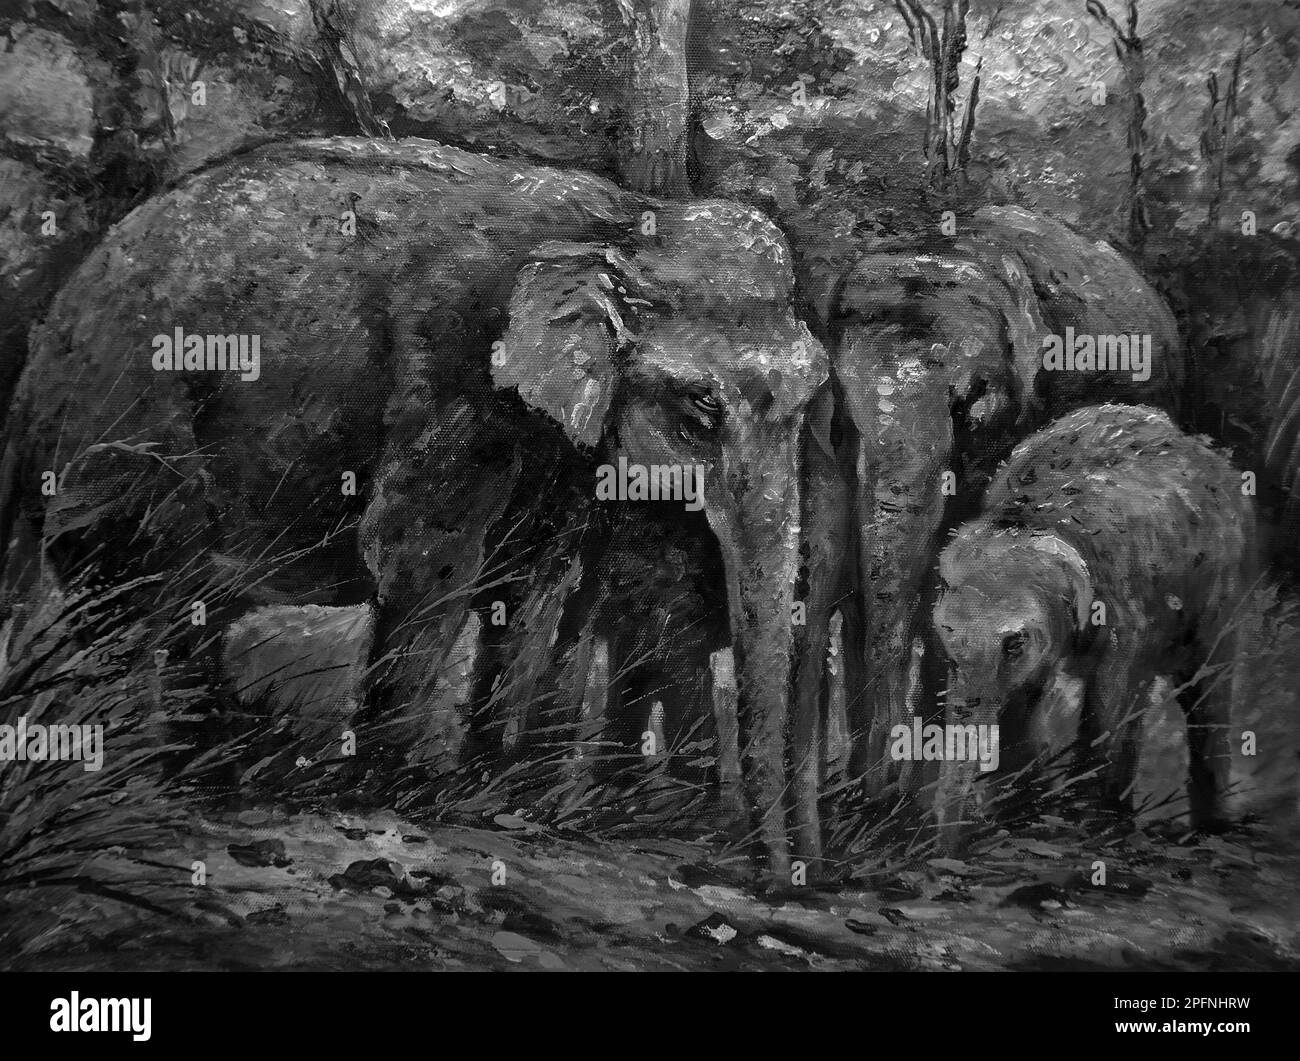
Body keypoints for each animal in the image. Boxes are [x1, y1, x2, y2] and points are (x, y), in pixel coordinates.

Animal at [0, 135, 828, 878]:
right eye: (701, 407)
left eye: (814, 388)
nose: (772, 874)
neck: (622, 223)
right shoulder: (449, 375)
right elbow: (426, 562)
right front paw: (391, 794)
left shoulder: (561, 444)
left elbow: (535, 585)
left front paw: (495, 798)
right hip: (122, 437)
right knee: (137, 598)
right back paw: (136, 778)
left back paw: (203, 774)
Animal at [931, 403, 1257, 853]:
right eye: (947, 638)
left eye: (1014, 643)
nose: (946, 853)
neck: (1036, 516)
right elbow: (1024, 705)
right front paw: (1019, 822)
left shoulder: (1126, 607)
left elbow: (1107, 706)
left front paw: (1085, 830)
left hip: (1222, 590)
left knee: (1207, 692)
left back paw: (1208, 829)